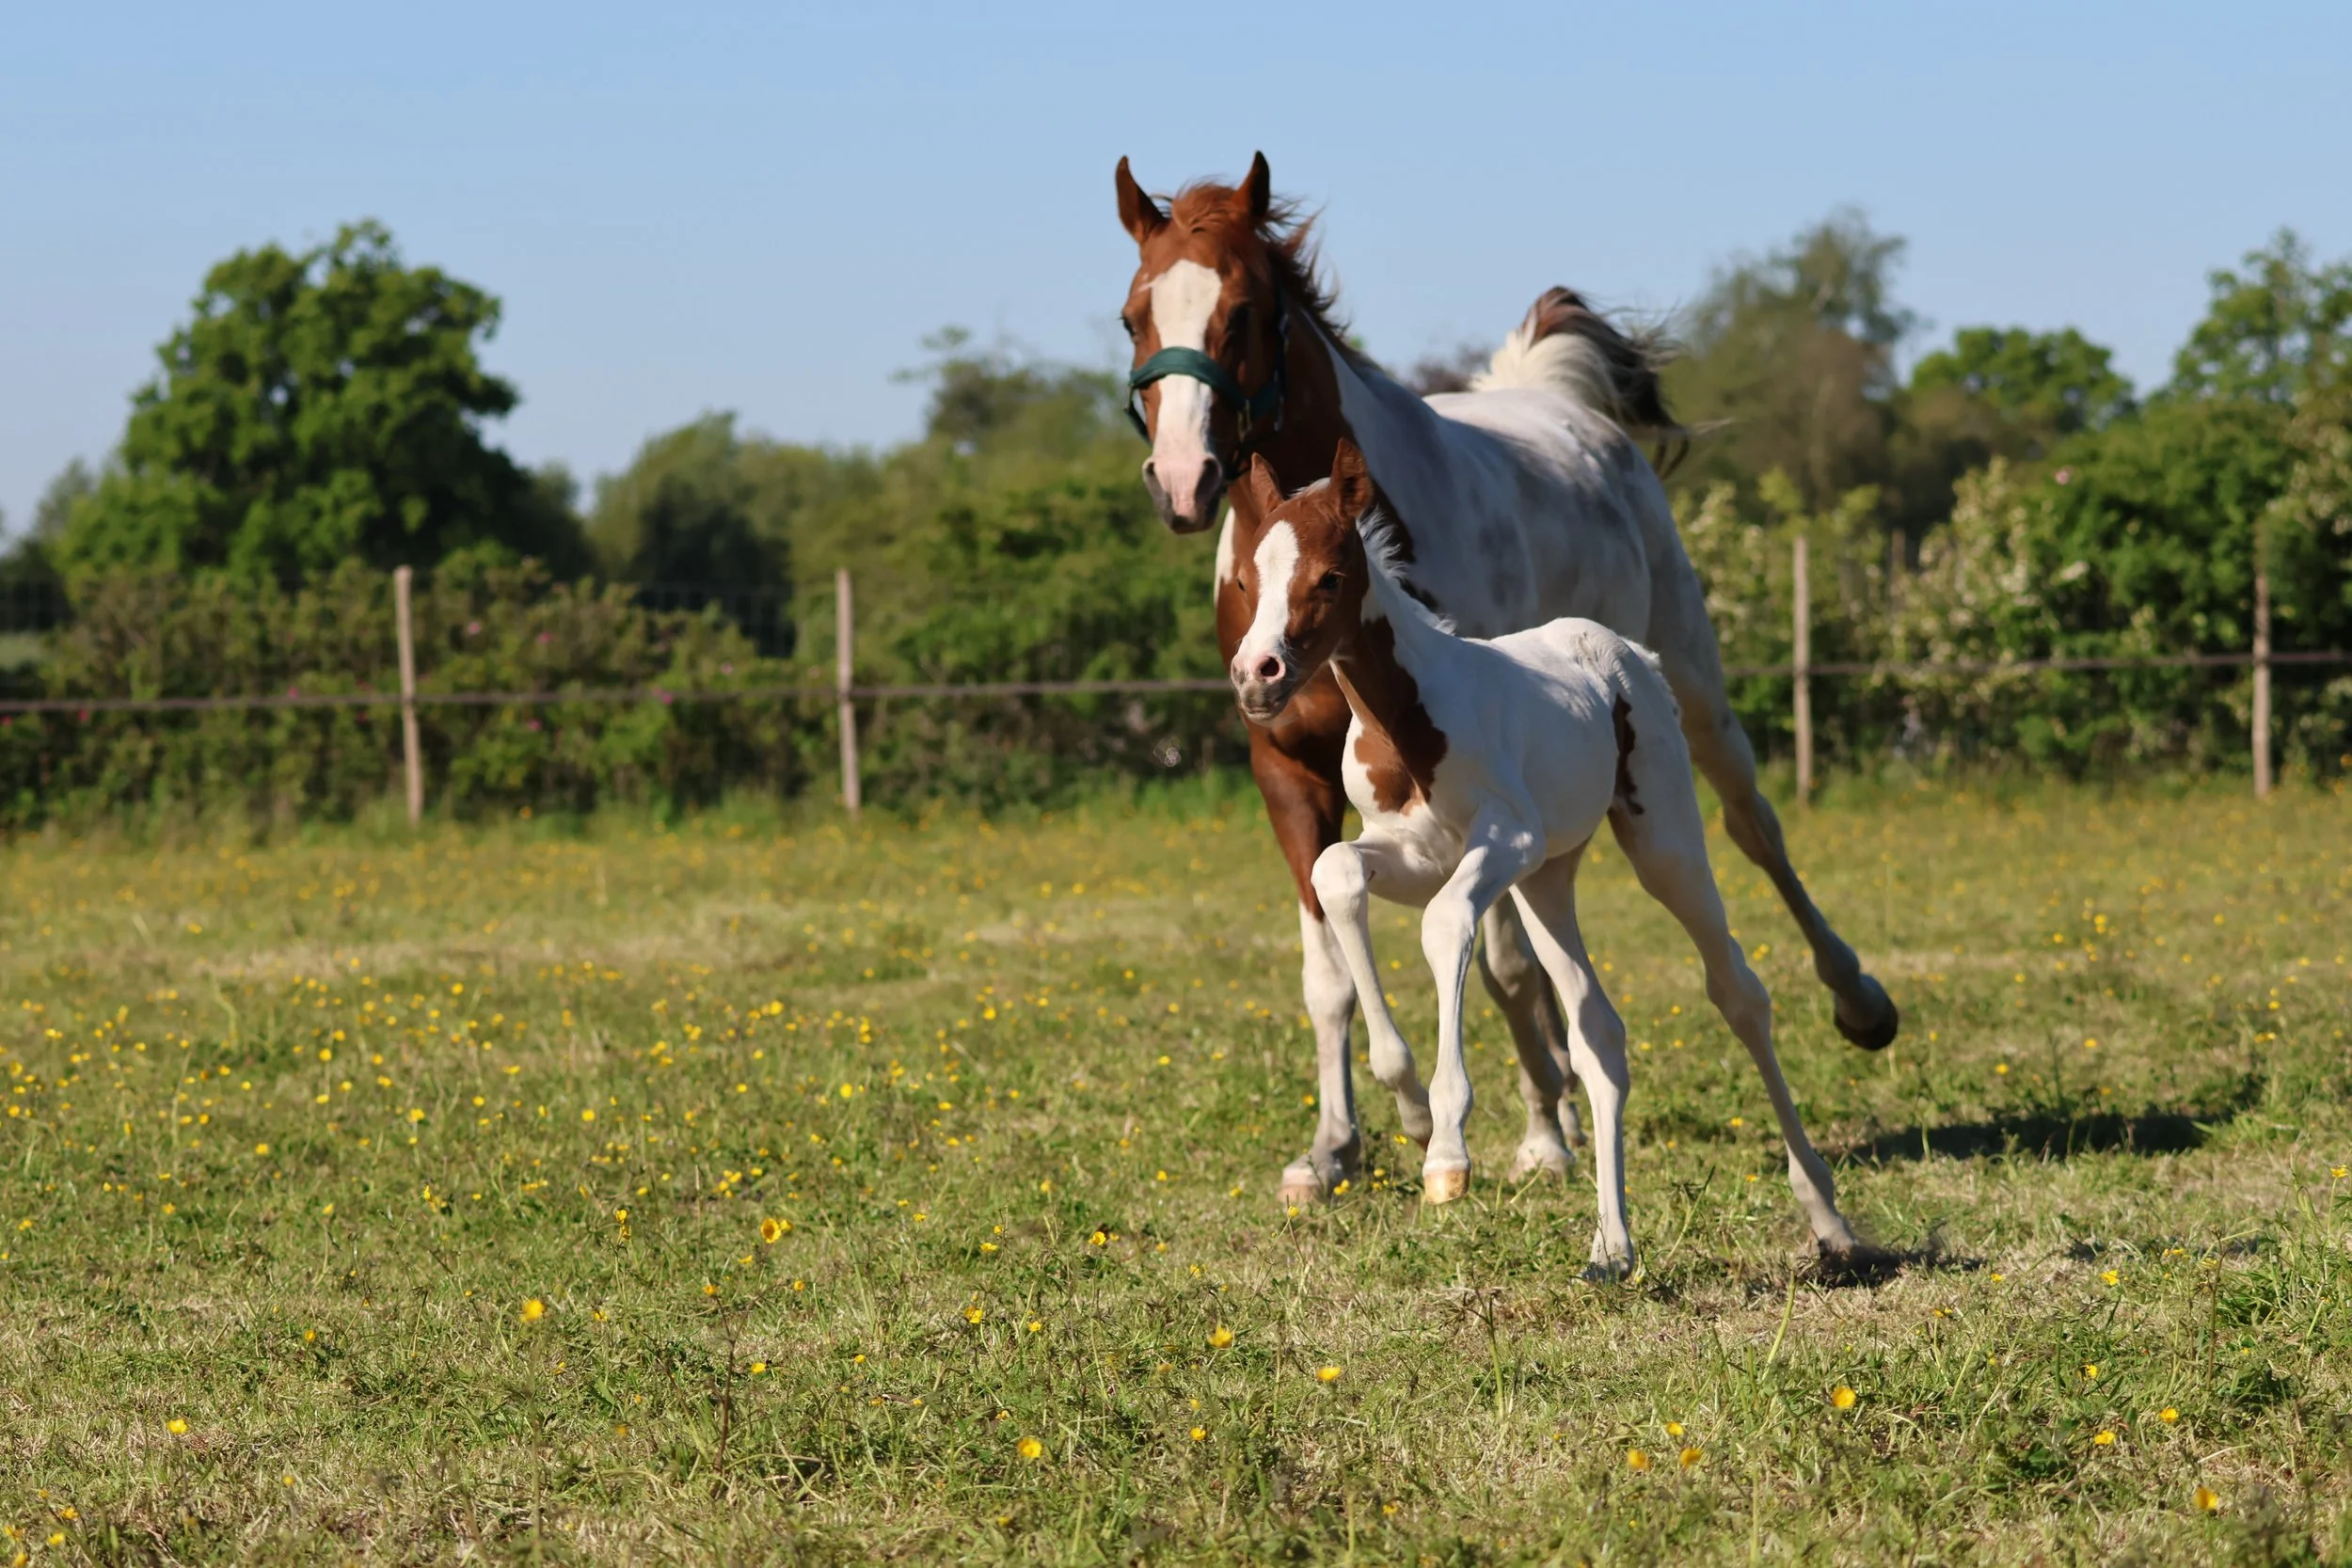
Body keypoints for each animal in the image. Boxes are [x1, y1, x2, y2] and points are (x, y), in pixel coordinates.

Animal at [1227, 439, 1864, 1274]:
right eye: (1246, 579)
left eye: (1329, 576)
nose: (1255, 675)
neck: (1411, 716)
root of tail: (1626, 651)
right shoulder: (1417, 851)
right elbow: (1337, 875)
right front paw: (1412, 1111)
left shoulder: (1506, 837)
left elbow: (1444, 925)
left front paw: (1448, 1151)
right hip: (1546, 882)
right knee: (1599, 1031)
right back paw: (1612, 1246)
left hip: (1660, 844)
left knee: (1738, 992)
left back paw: (1827, 1214)